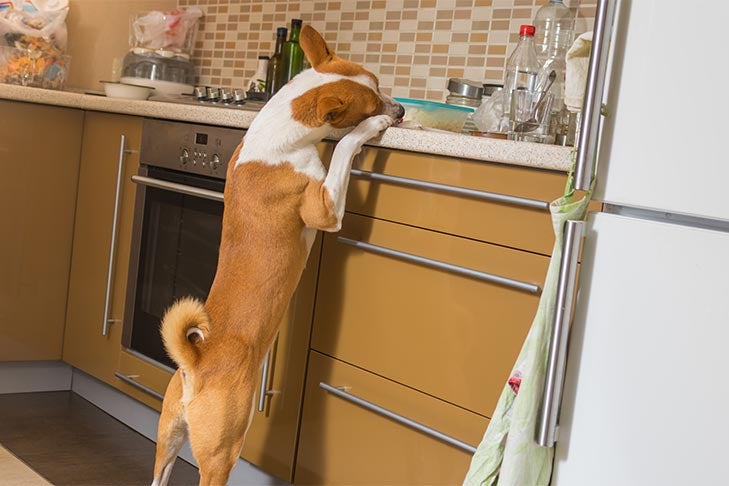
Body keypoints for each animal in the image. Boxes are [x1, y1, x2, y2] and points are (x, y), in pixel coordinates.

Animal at [149, 25, 404, 486]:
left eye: (378, 83)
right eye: (372, 102)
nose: (402, 110)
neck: (279, 131)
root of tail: (196, 362)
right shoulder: (325, 207)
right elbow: (344, 149)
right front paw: (368, 130)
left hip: (168, 437)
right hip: (222, 450)